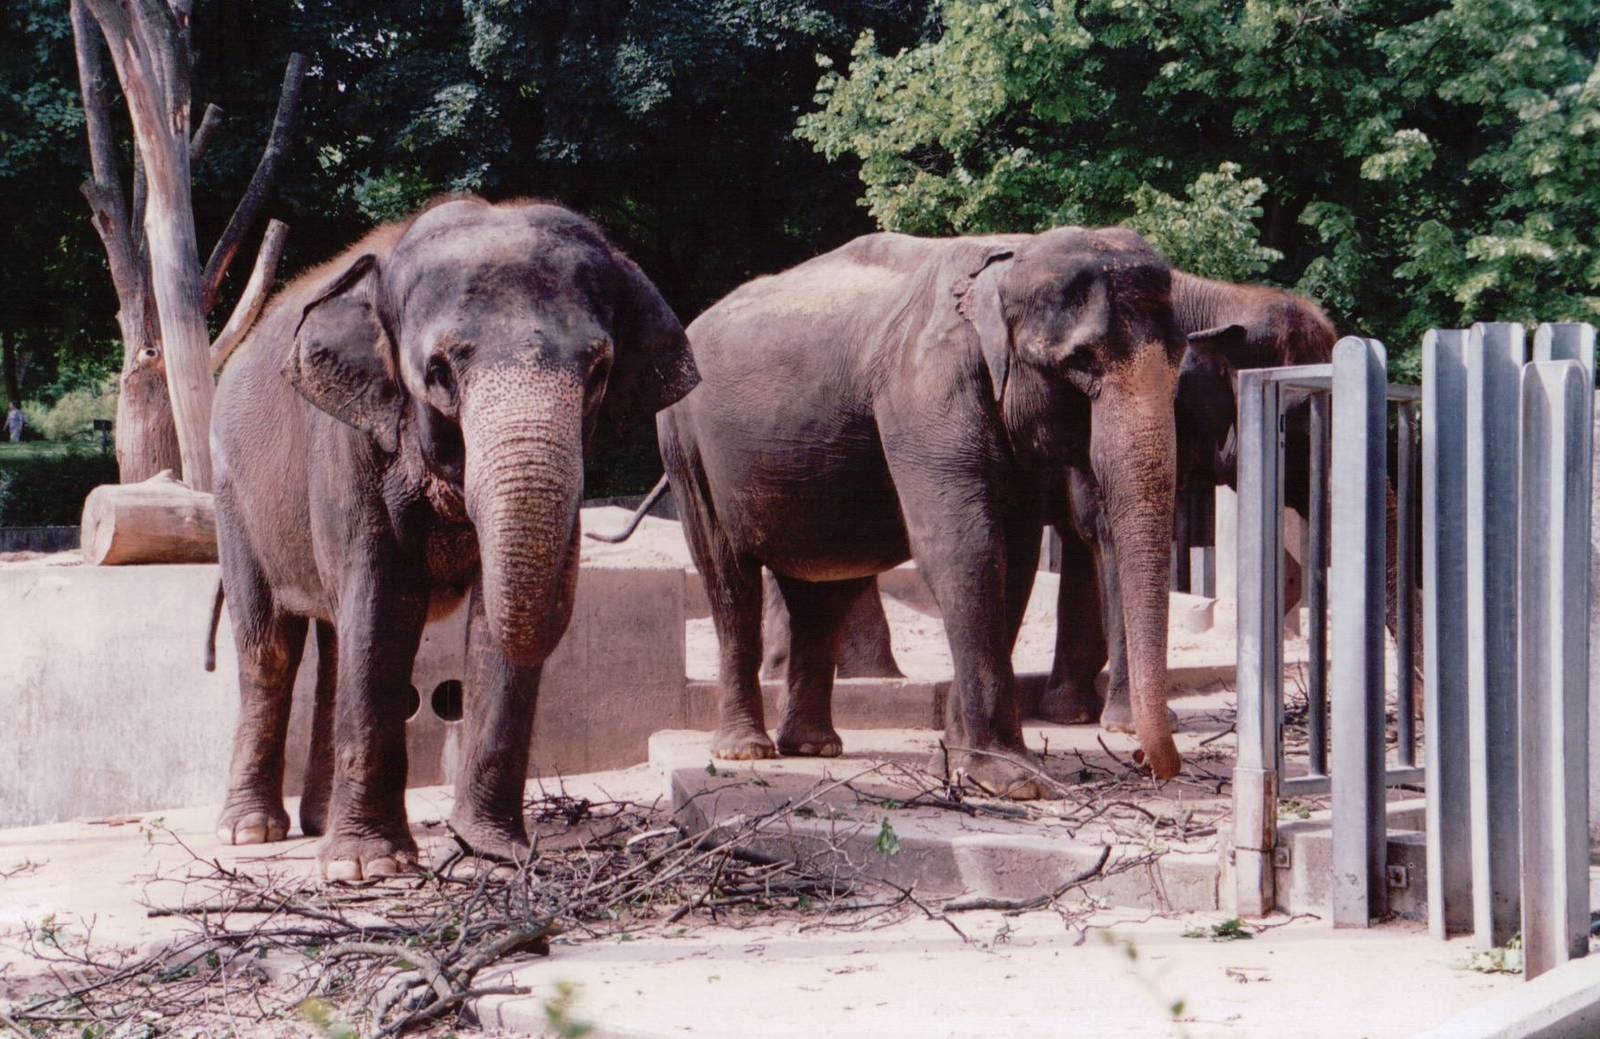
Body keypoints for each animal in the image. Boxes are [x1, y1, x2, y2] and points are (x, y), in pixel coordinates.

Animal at [206, 196, 698, 880]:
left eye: (598, 370)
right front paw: (366, 868)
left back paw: (320, 824)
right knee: (270, 647)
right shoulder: (349, 440)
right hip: (232, 495)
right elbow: (381, 605)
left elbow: (490, 616)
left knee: (334, 644)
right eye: (438, 371)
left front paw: (496, 851)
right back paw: (251, 832)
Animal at [657, 226, 1190, 795]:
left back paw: (813, 746)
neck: (1008, 261)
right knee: (728, 579)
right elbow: (966, 549)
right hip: (685, 446)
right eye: (1081, 360)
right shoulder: (926, 395)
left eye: (1180, 357)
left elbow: (1014, 561)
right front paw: (1013, 780)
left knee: (823, 591)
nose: (1141, 758)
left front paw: (957, 766)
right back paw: (745, 750)